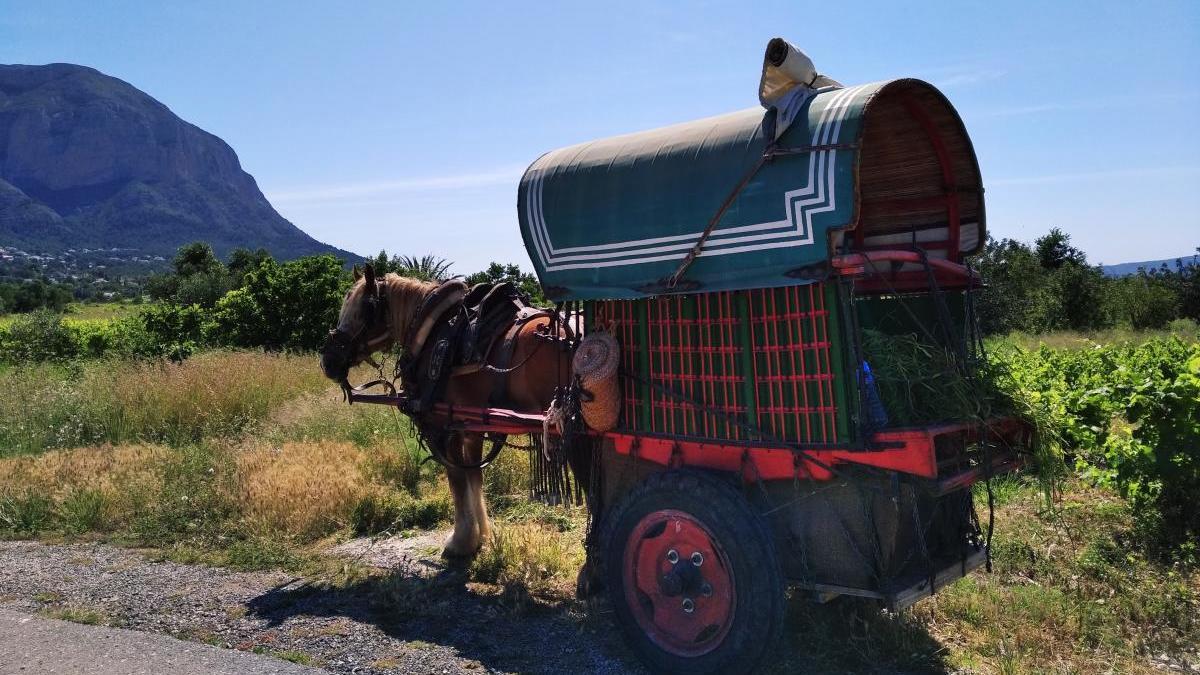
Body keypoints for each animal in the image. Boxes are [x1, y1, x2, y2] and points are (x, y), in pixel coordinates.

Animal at [319, 265, 571, 554]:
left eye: (366, 307)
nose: (328, 361)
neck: (434, 332)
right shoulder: (470, 428)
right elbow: (473, 477)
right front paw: (483, 536)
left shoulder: (442, 425)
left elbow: (456, 480)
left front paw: (461, 541)